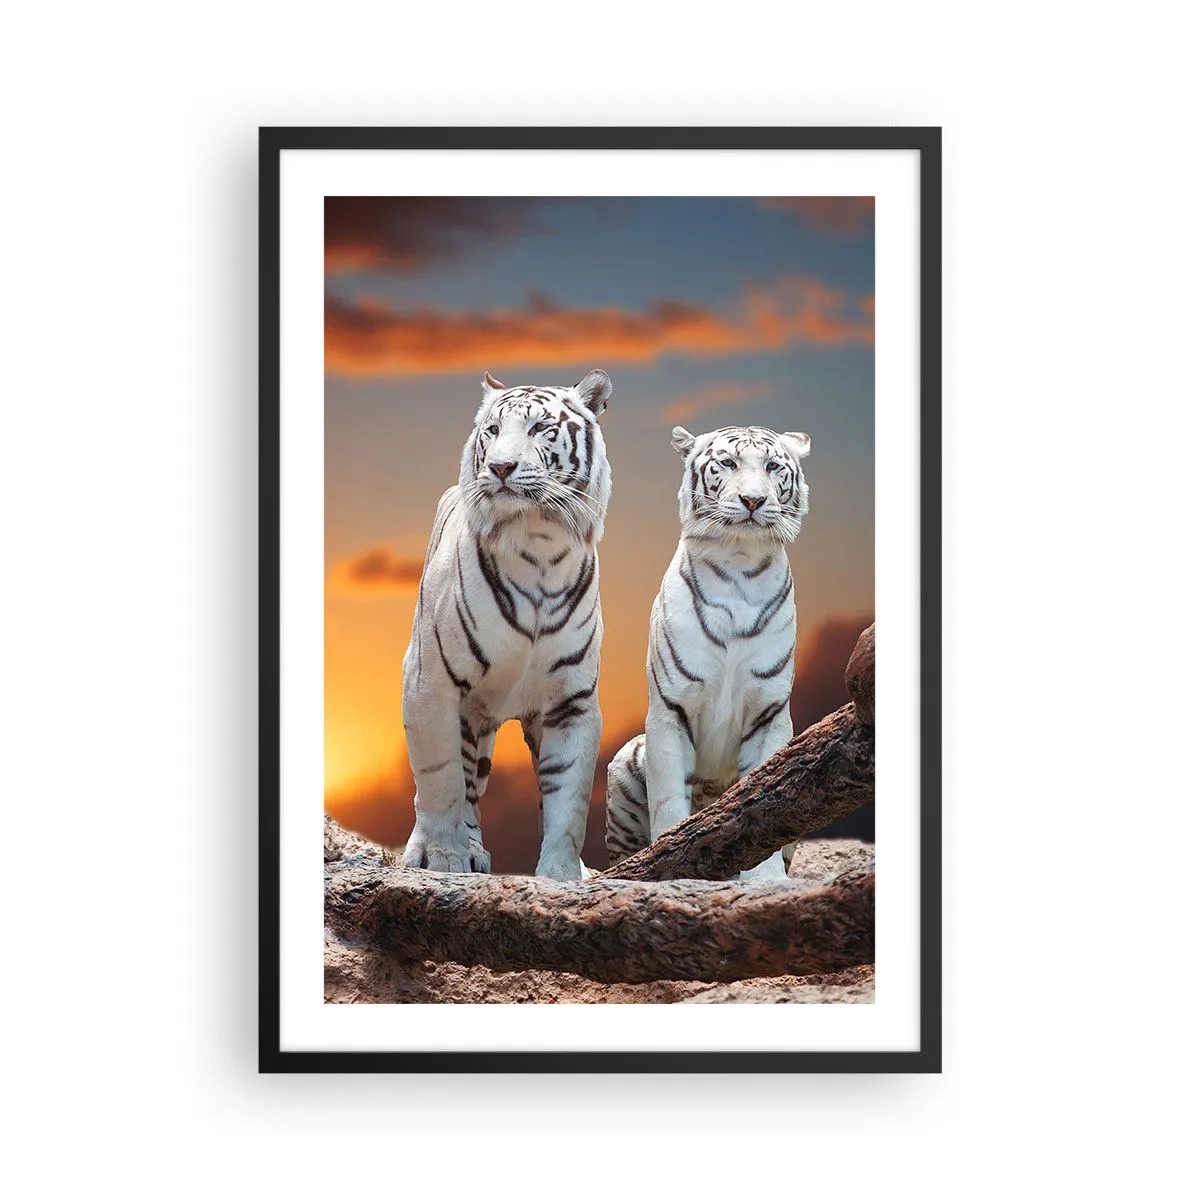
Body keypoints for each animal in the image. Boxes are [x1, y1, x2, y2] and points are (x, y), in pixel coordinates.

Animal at [400, 369, 613, 881]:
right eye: (492, 431)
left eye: (540, 428)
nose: (499, 468)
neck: (539, 542)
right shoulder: (429, 681)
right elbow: (439, 781)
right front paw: (441, 858)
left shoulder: (572, 700)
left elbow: (568, 800)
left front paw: (562, 875)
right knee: (461, 785)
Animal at [605, 422, 811, 881]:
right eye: (728, 463)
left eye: (773, 467)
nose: (753, 500)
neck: (739, 563)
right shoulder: (670, 708)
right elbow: (669, 801)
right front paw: (668, 863)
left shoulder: (770, 711)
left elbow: (766, 798)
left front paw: (766, 879)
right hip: (626, 761)